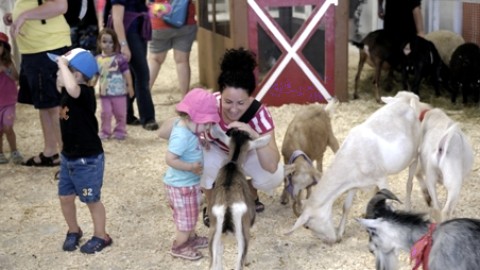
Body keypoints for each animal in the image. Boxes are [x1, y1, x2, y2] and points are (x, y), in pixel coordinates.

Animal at [284, 92, 428, 244]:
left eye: (307, 226)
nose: (331, 241)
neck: (353, 157)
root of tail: (407, 99)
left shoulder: (381, 177)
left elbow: (389, 200)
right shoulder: (354, 183)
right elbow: (346, 206)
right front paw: (340, 233)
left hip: (414, 156)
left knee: (409, 184)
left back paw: (407, 207)